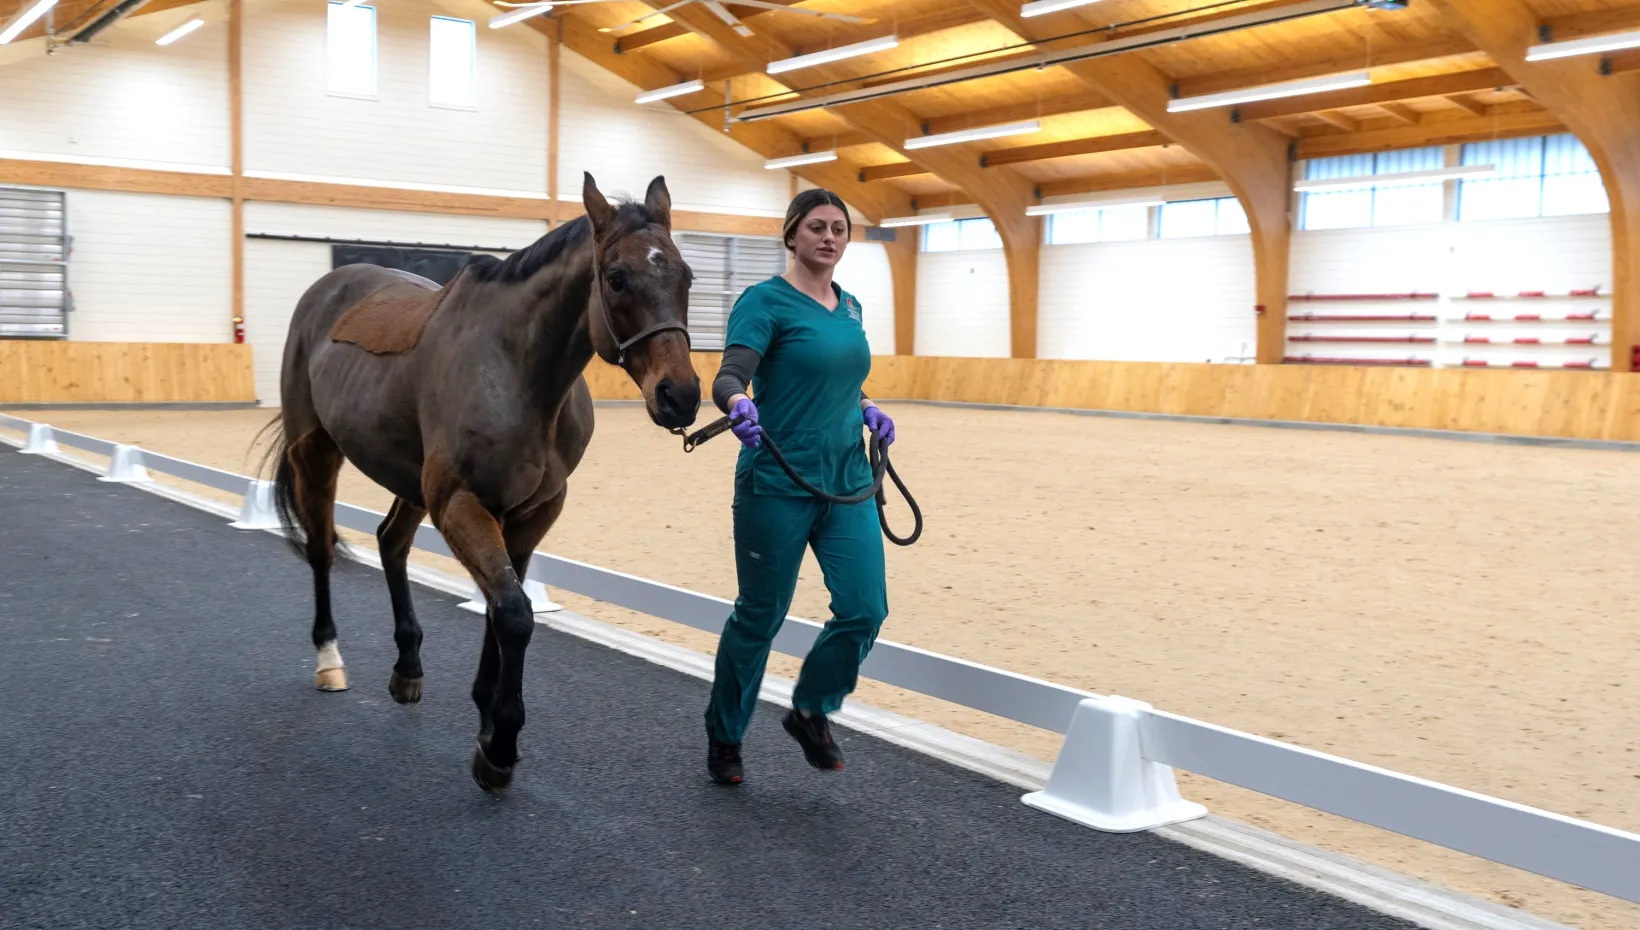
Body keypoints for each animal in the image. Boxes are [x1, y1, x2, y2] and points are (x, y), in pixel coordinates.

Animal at [260, 174, 698, 793]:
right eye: (616, 278)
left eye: (686, 276)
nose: (679, 395)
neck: (519, 373)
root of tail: (326, 287)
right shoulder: (461, 504)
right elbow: (513, 612)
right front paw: (500, 743)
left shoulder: (533, 511)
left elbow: (502, 605)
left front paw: (487, 714)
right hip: (317, 452)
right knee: (321, 548)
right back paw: (329, 659)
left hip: (409, 481)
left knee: (391, 543)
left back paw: (408, 667)